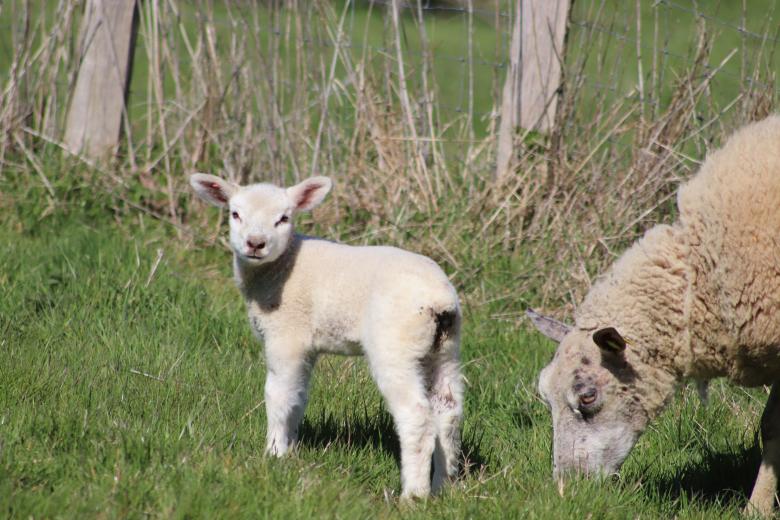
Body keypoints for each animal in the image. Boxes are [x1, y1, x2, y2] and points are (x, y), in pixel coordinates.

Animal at [189, 173, 463, 499]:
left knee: (416, 416)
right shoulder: (307, 346)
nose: (255, 244)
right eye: (235, 214)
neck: (280, 266)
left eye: (283, 218)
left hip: (395, 345)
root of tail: (439, 300)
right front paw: (290, 449)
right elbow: (298, 397)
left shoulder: (286, 336)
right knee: (448, 410)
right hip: (444, 348)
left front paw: (273, 453)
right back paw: (443, 487)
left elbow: (277, 395)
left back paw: (413, 495)